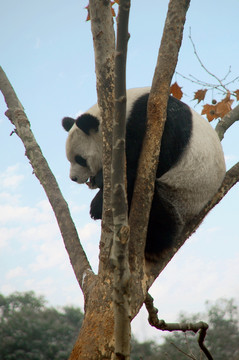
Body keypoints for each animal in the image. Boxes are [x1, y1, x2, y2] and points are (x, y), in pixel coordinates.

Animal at [62, 86, 226, 258]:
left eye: (80, 159)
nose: (73, 178)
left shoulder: (160, 120)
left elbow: (151, 162)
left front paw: (96, 204)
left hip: (179, 196)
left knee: (160, 221)